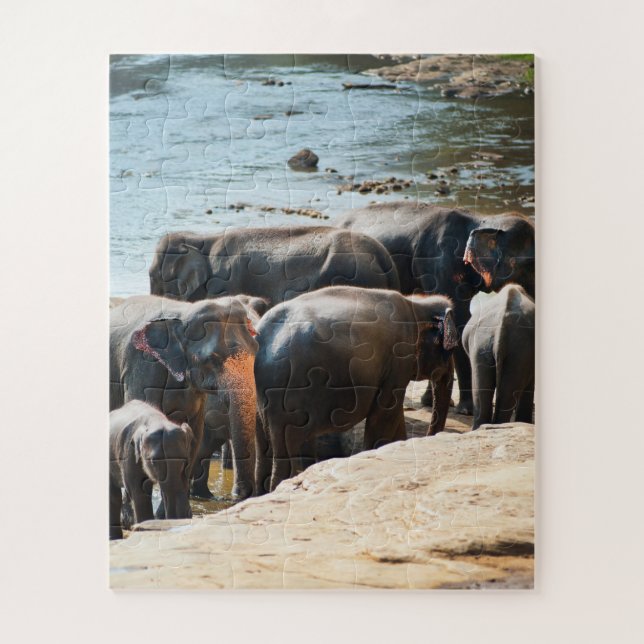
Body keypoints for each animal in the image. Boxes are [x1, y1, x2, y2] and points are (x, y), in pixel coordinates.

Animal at [109, 400, 196, 539]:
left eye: (185, 461)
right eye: (154, 461)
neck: (157, 420)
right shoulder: (129, 453)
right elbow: (138, 491)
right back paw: (114, 538)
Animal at [110, 294, 259, 501]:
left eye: (256, 349)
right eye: (211, 359)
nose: (239, 493)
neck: (184, 312)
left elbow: (194, 436)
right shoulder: (142, 368)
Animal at [254, 285, 459, 493]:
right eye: (451, 350)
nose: (430, 437)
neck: (416, 304)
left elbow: (393, 417)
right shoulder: (398, 360)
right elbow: (384, 415)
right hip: (291, 397)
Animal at [337, 202, 535, 415]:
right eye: (530, 264)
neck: (482, 220)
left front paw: (431, 401)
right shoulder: (440, 265)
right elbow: (459, 319)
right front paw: (467, 410)